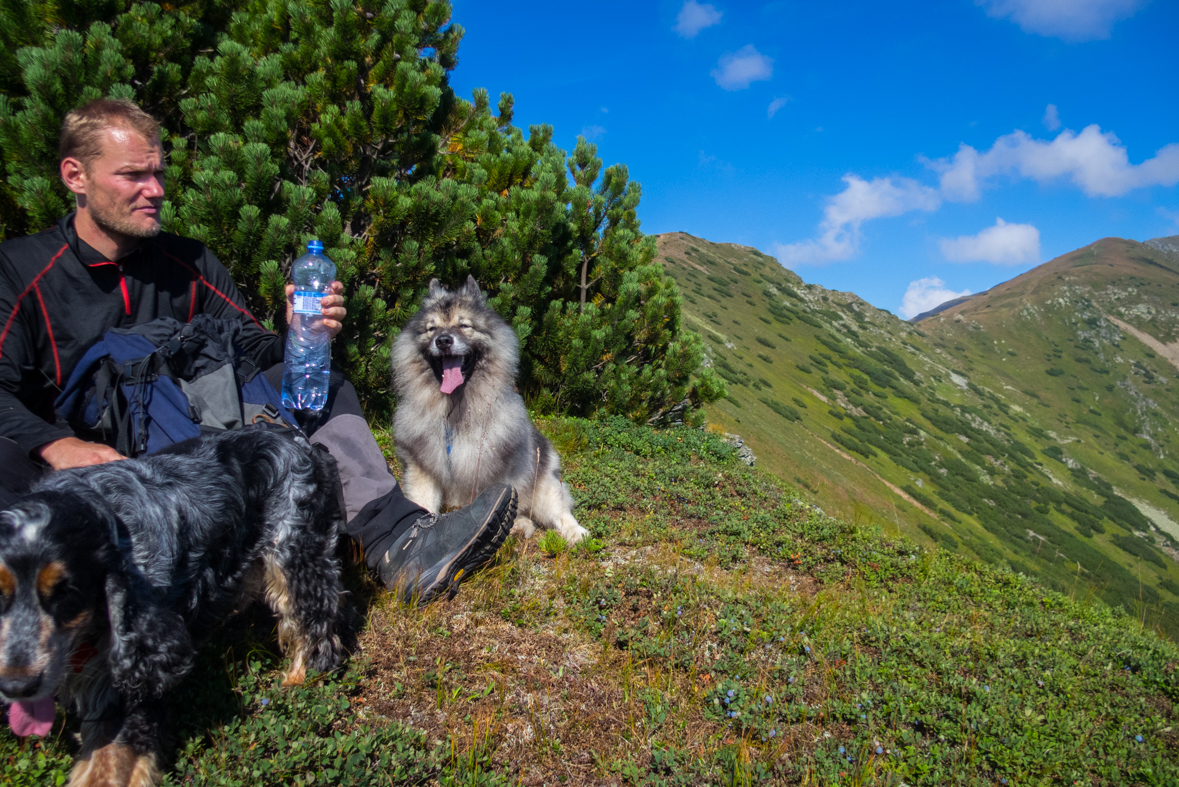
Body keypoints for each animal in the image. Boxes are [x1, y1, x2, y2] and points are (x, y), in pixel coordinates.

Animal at [391, 279, 589, 544]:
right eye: (431, 328)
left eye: (464, 325)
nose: (443, 341)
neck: (454, 408)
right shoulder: (422, 466)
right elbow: (423, 502)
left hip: (545, 481)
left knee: (559, 511)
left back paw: (575, 533)